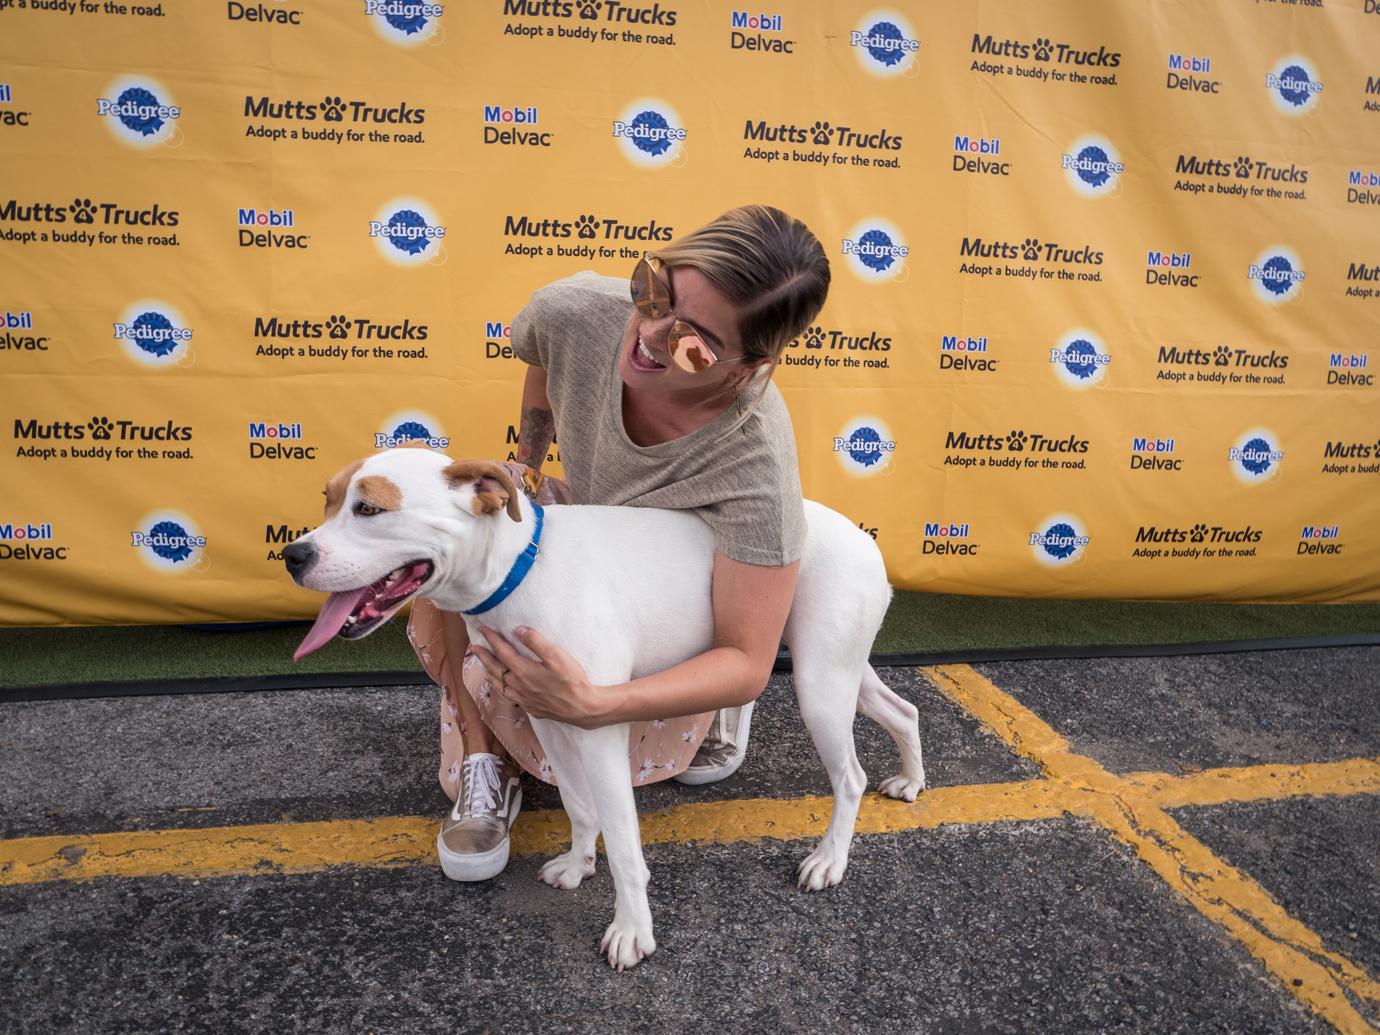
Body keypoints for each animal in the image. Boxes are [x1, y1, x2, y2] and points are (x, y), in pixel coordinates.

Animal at [284, 449, 921, 977]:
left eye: (370, 508)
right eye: (327, 499)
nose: (293, 554)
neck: (520, 569)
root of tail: (864, 539)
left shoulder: (598, 725)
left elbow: (623, 839)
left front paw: (632, 931)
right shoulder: (547, 714)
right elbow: (576, 801)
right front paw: (578, 862)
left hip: (819, 685)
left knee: (850, 776)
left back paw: (829, 860)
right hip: (839, 671)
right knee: (904, 709)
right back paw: (911, 781)